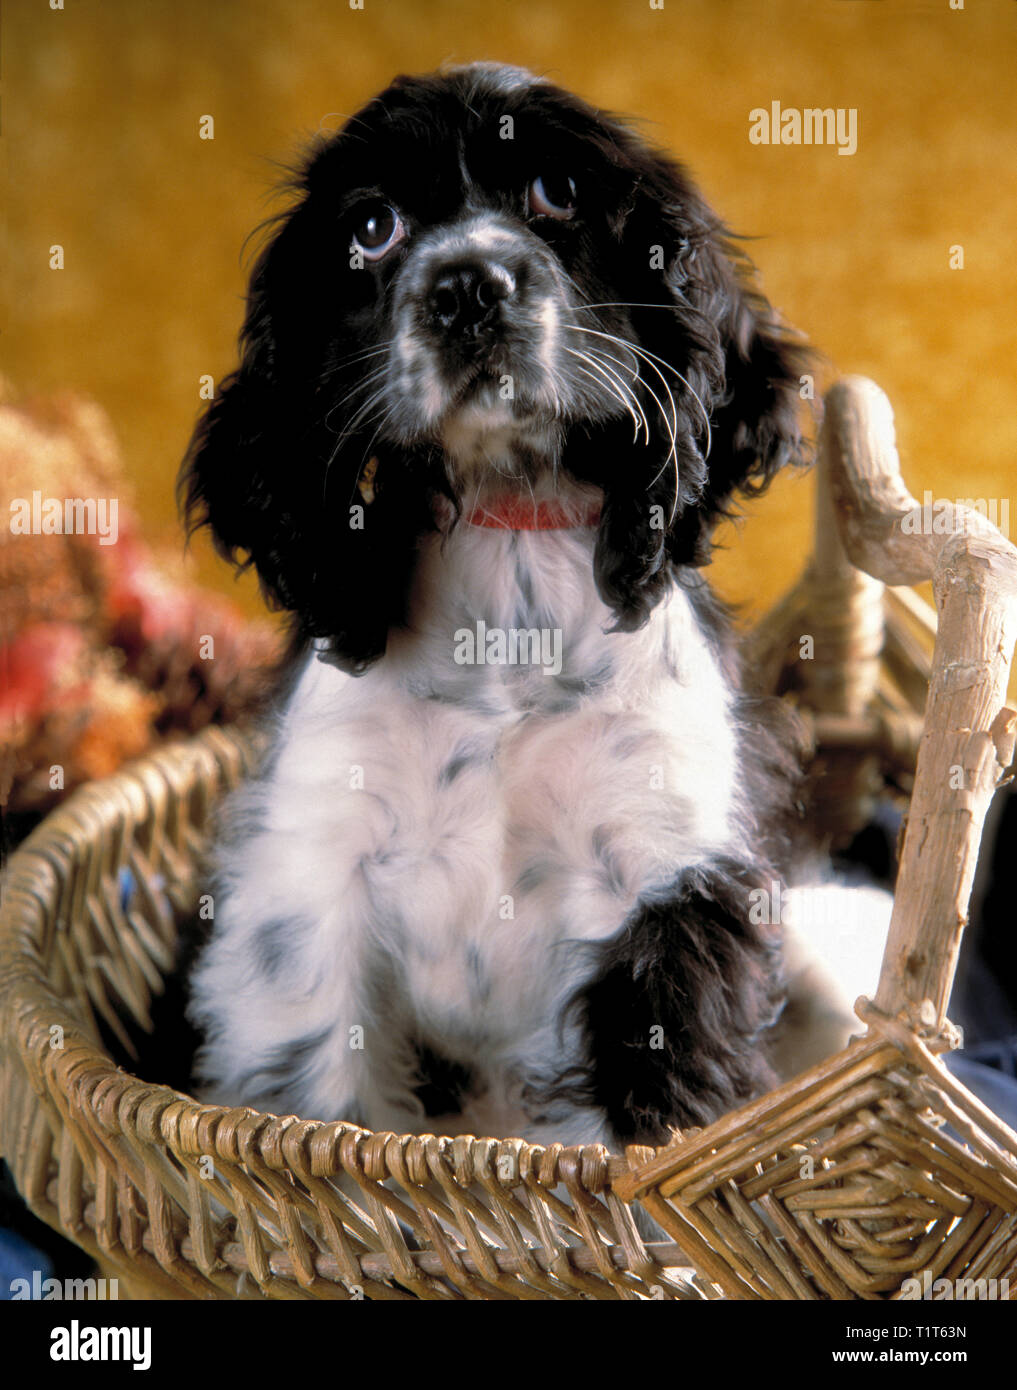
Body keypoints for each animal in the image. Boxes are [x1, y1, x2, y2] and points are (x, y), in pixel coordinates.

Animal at [180, 62, 816, 1150]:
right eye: (373, 226)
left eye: (558, 191)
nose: (467, 287)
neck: (506, 530)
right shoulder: (311, 876)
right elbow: (323, 1093)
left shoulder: (669, 883)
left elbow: (658, 1116)